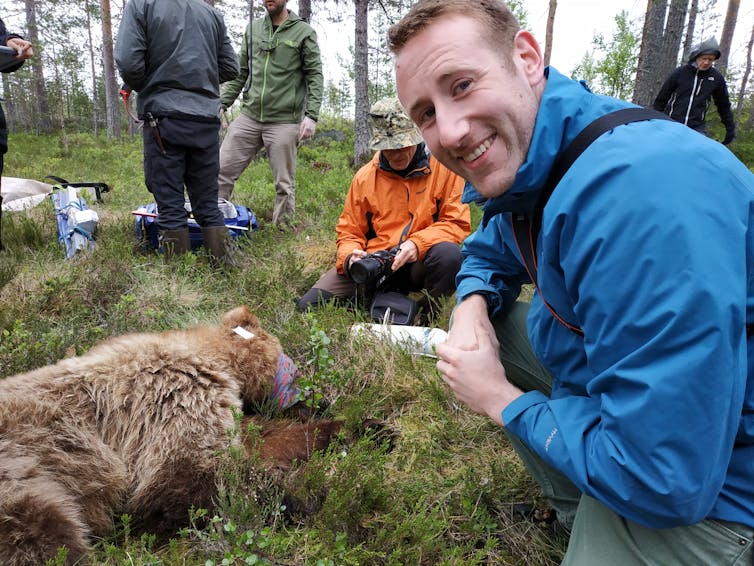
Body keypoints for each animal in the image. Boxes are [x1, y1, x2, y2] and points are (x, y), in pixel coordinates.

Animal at [0, 306, 352, 565]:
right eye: (294, 372)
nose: (320, 400)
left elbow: (262, 438)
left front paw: (355, 427)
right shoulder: (173, 397)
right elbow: (189, 484)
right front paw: (301, 497)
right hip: (28, 474)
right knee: (42, 536)